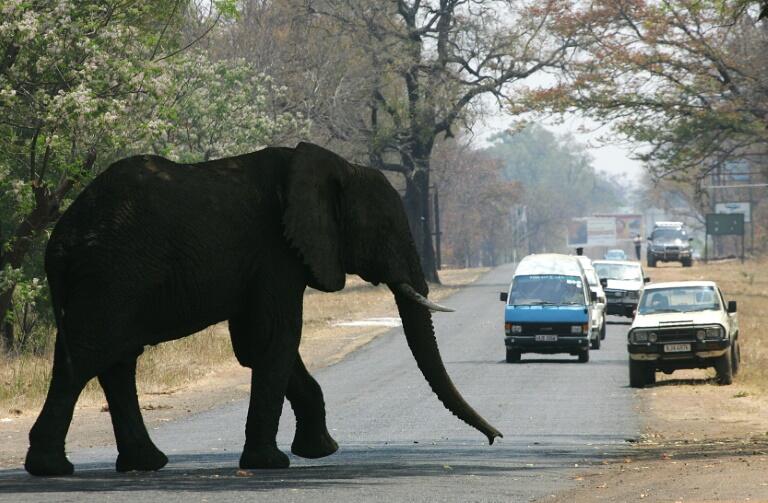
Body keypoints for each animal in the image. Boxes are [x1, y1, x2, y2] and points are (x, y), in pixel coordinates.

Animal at [24, 141, 500, 476]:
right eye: (383, 229)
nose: (496, 438)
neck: (330, 167)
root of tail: (59, 241)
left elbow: (257, 344)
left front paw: (321, 451)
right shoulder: (277, 252)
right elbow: (277, 337)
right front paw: (273, 463)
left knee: (115, 360)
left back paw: (145, 464)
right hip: (113, 274)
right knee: (87, 356)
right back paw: (52, 468)